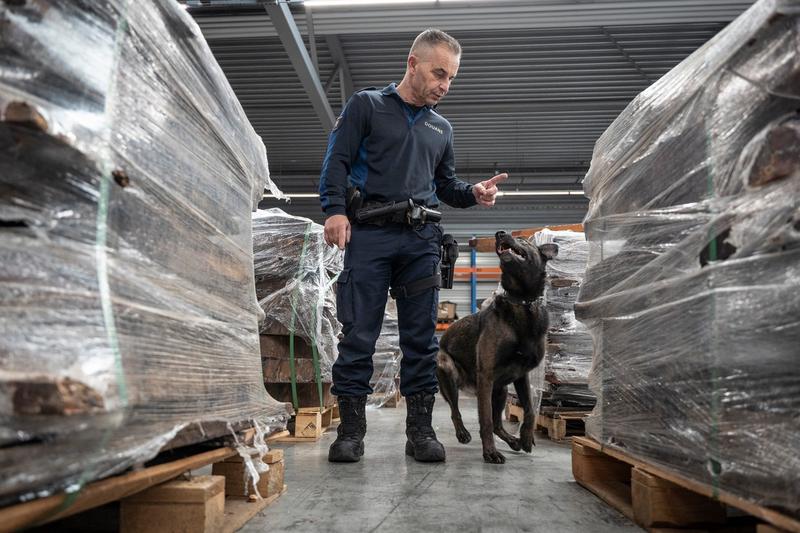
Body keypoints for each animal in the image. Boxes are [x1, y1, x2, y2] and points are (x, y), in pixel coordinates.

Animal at [438, 232, 556, 462]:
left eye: (524, 241)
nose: (500, 233)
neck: (522, 302)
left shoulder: (522, 375)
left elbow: (530, 410)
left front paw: (526, 438)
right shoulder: (486, 376)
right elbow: (485, 420)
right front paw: (490, 453)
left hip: (500, 390)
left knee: (498, 424)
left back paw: (513, 441)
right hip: (449, 371)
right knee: (456, 411)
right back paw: (463, 433)